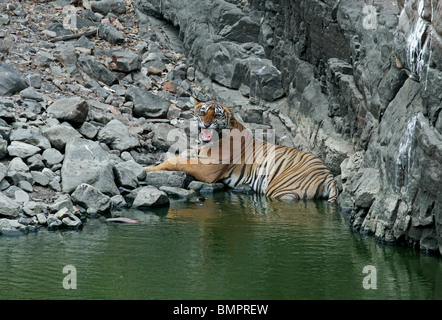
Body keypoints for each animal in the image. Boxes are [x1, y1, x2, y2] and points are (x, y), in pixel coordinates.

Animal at [145, 100, 338, 201]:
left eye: (217, 115)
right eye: (202, 112)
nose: (206, 124)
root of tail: (328, 174)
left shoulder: (207, 169)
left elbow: (176, 162)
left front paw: (149, 170)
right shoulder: (198, 151)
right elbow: (180, 156)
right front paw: (148, 166)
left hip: (281, 191)